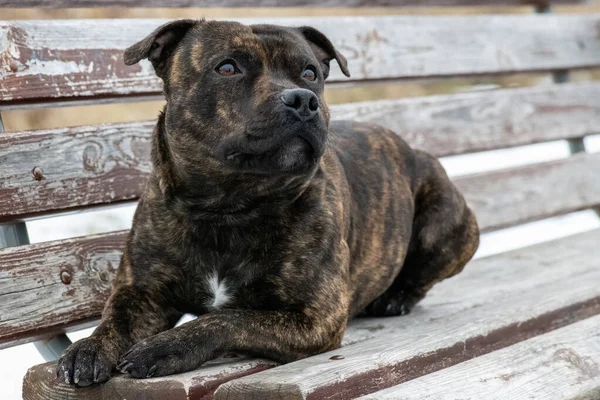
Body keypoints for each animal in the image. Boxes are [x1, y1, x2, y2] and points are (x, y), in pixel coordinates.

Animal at [56, 18, 478, 388]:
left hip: (446, 222)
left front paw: (163, 348)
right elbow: (115, 319)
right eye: (227, 67)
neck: (228, 205)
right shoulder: (142, 291)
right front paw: (89, 348)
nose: (303, 100)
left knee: (423, 273)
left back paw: (395, 298)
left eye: (310, 73)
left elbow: (230, 319)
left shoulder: (314, 317)